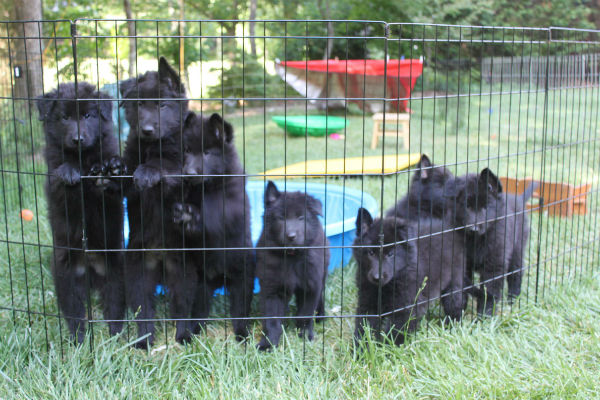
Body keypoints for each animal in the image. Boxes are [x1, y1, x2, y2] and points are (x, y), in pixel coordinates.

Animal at [36, 82, 125, 344]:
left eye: (88, 116)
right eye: (64, 117)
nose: (77, 139)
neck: (83, 158)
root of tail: (90, 266)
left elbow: (112, 188)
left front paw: (113, 168)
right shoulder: (54, 185)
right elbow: (61, 181)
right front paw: (69, 172)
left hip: (115, 266)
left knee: (114, 304)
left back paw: (116, 333)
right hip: (64, 273)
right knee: (74, 311)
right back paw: (79, 339)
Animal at [173, 111, 258, 342]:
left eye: (207, 153)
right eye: (186, 150)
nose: (188, 173)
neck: (207, 188)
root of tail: (218, 278)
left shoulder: (233, 205)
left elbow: (214, 215)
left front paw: (193, 216)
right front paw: (185, 215)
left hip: (242, 277)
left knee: (239, 311)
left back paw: (242, 334)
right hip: (194, 281)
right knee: (192, 310)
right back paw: (188, 333)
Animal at [255, 181, 330, 350]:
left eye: (301, 218)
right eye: (280, 218)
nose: (291, 236)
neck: (292, 256)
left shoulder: (311, 285)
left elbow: (306, 313)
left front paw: (305, 335)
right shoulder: (272, 288)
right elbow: (272, 320)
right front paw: (268, 343)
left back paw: (321, 316)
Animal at [448, 167, 536, 314]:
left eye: (485, 207)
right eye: (467, 206)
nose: (473, 229)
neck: (476, 240)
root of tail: (517, 198)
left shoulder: (495, 263)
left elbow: (490, 290)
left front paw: (485, 314)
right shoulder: (464, 263)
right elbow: (463, 287)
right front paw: (460, 309)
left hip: (517, 249)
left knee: (516, 274)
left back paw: (512, 299)